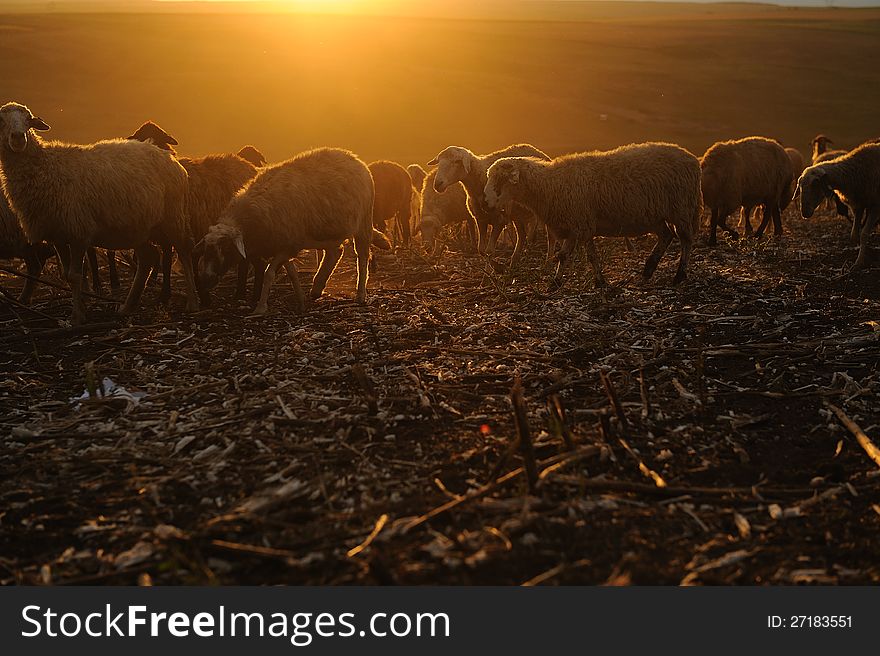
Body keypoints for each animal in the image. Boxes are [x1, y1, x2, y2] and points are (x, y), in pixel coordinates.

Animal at [199, 147, 392, 316]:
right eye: (206, 250)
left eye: (226, 248)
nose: (205, 280)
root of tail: (353, 157)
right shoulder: (285, 245)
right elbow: (291, 274)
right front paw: (301, 302)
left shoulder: (289, 245)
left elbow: (269, 274)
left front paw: (260, 308)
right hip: (327, 229)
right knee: (335, 252)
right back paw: (317, 288)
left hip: (363, 221)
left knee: (362, 257)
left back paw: (360, 294)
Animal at [482, 141, 700, 288]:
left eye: (500, 179)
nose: (484, 202)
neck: (550, 185)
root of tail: (691, 158)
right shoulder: (577, 225)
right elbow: (575, 255)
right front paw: (563, 282)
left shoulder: (580, 223)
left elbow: (576, 255)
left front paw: (589, 281)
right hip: (654, 215)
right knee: (666, 235)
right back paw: (648, 269)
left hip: (682, 209)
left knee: (685, 240)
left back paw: (679, 274)